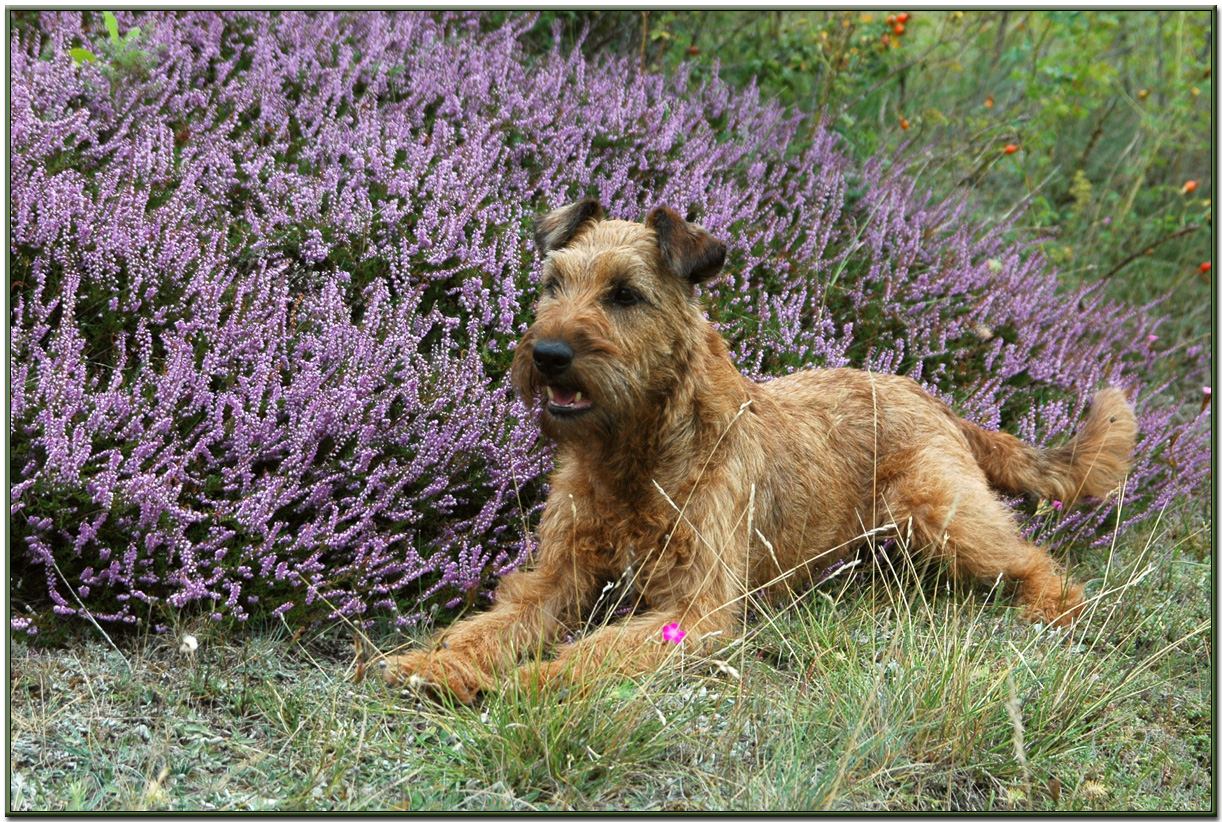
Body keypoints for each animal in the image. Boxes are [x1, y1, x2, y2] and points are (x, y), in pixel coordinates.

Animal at [378, 200, 1134, 703]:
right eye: (551, 284)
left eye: (624, 294)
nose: (549, 354)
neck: (637, 452)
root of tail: (932, 397)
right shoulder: (557, 576)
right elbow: (489, 625)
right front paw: (436, 664)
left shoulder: (696, 609)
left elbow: (591, 653)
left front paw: (533, 683)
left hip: (942, 511)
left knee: (1036, 559)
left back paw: (1051, 604)